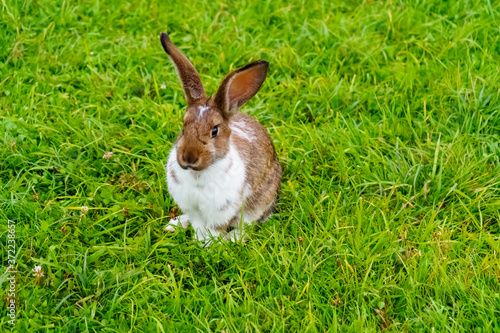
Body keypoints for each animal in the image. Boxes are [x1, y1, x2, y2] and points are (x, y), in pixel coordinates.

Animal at [160, 31, 282, 241]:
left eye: (215, 130)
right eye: (183, 125)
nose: (189, 157)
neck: (197, 175)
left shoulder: (221, 211)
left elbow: (214, 229)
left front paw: (207, 244)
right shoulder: (192, 208)